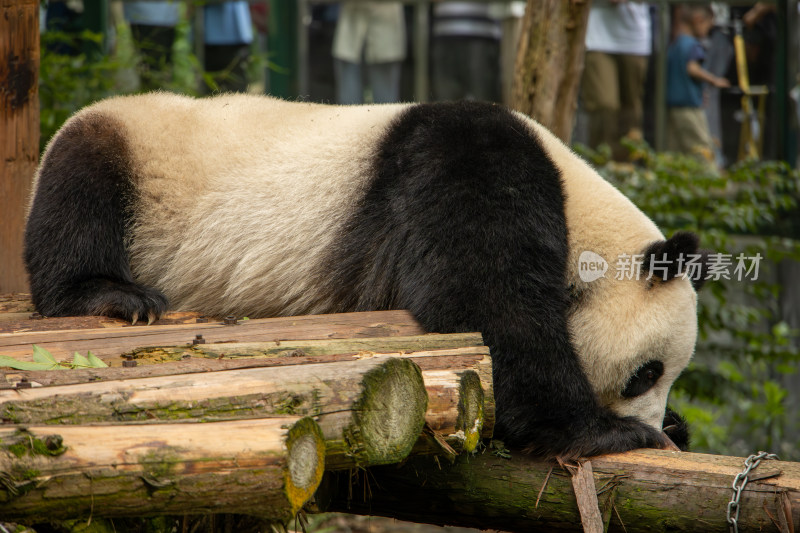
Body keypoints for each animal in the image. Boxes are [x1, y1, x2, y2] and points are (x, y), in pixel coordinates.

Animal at [25, 91, 708, 458]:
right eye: (646, 373)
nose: (657, 424)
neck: (580, 212)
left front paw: (673, 426)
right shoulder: (463, 170)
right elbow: (485, 309)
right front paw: (609, 432)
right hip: (135, 159)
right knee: (76, 205)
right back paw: (114, 297)